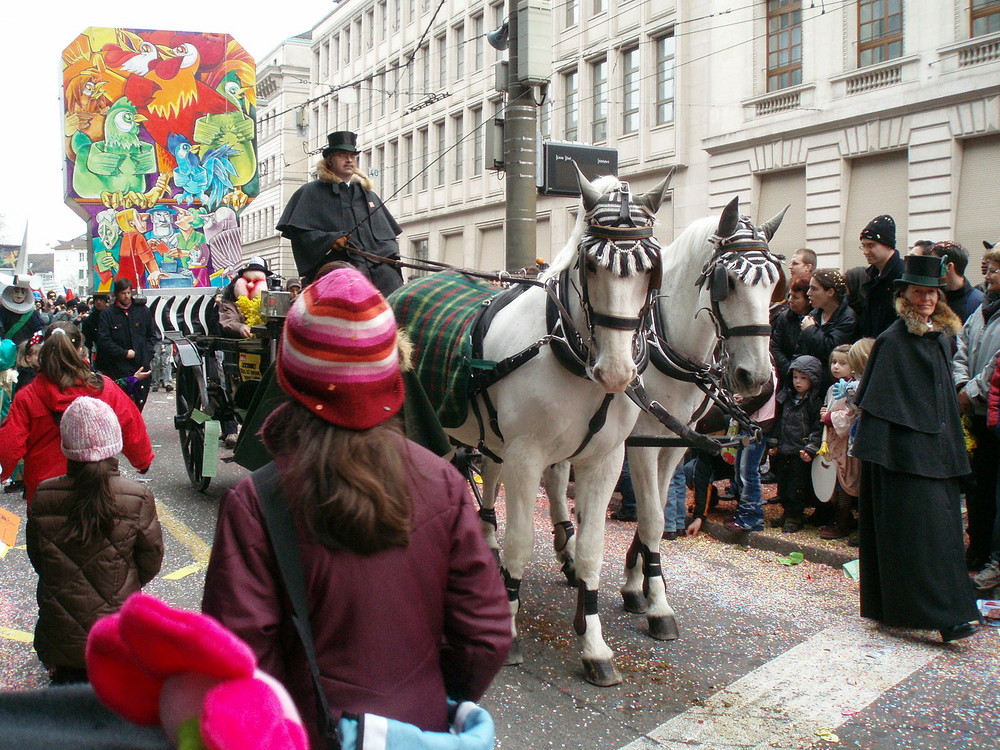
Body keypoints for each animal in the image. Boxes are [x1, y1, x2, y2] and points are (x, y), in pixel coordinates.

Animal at [390, 169, 672, 688]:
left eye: (651, 267)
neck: (571, 354)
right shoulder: (527, 456)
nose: (617, 372)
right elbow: (522, 543)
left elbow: (591, 549)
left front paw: (593, 643)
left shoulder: (605, 461)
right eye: (592, 264)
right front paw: (510, 627)